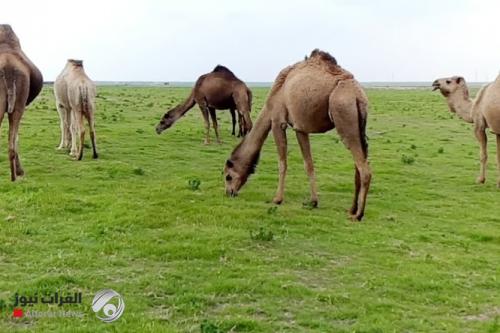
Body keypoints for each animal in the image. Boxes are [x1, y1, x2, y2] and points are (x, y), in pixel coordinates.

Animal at [223, 49, 372, 220]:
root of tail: (358, 95)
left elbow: (282, 163)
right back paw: (352, 209)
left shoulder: (277, 121)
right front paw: (313, 202)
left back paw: (358, 215)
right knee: (359, 165)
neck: (275, 94)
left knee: (364, 169)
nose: (229, 192)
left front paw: (277, 199)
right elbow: (309, 164)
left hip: (343, 112)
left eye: (228, 176)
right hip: (359, 125)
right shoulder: (300, 128)